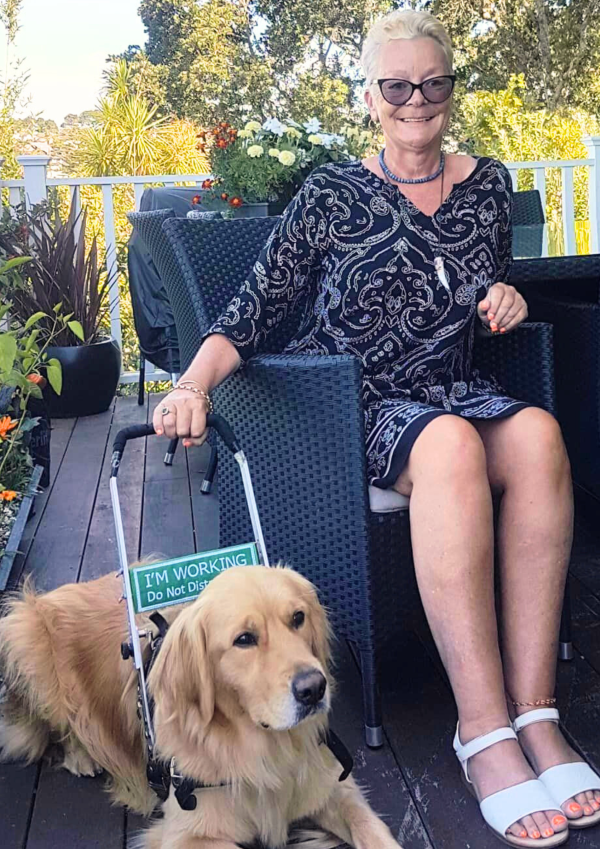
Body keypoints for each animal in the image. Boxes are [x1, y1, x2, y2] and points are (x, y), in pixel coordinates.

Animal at [2, 564, 404, 848]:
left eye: (298, 618)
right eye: (244, 639)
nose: (314, 689)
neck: (264, 750)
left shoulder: (334, 788)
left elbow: (373, 829)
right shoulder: (186, 834)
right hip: (23, 634)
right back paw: (81, 756)